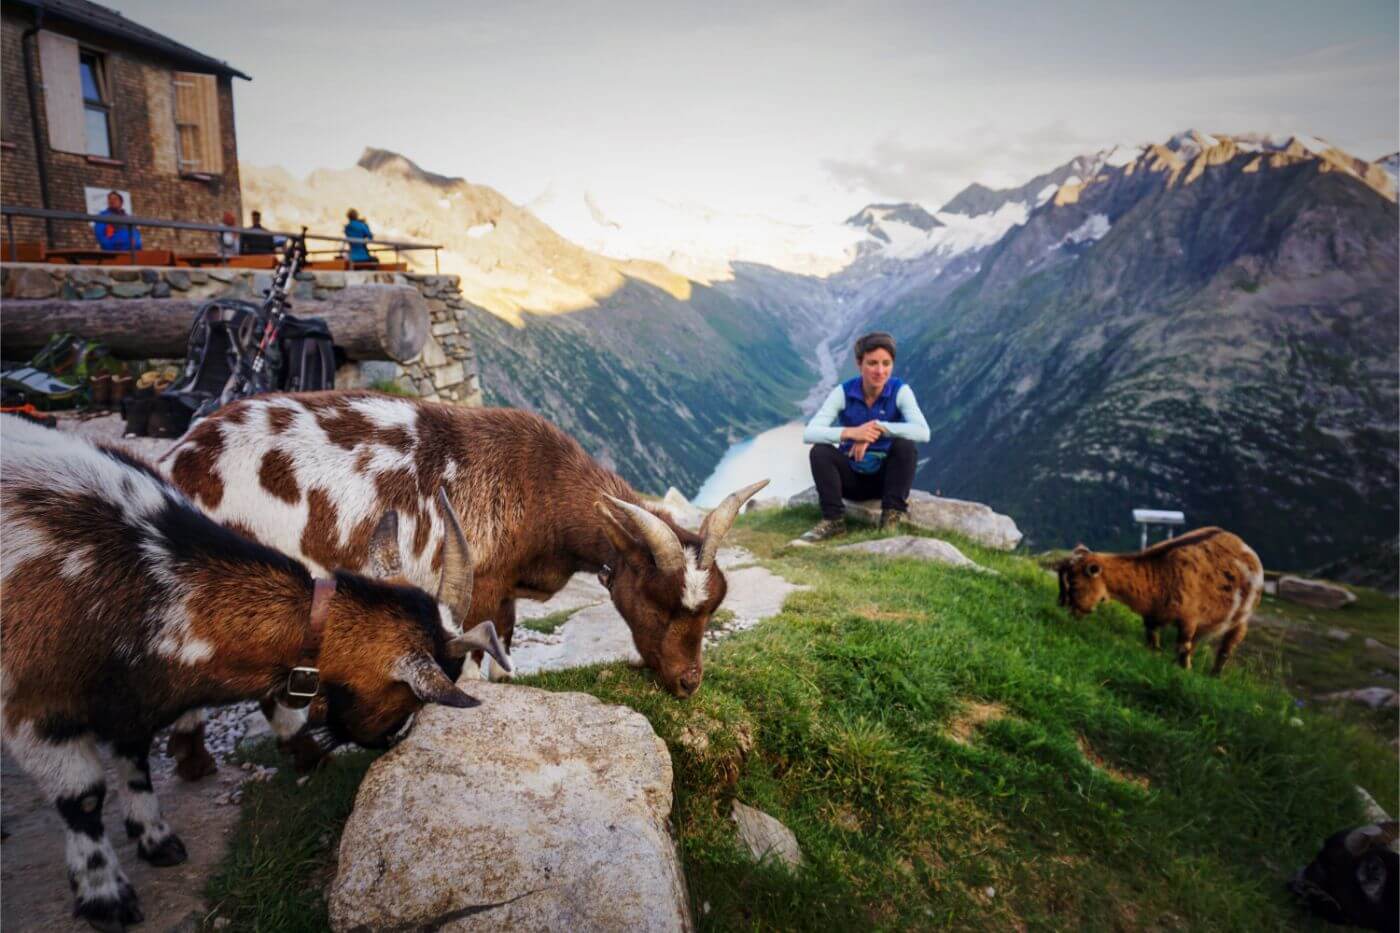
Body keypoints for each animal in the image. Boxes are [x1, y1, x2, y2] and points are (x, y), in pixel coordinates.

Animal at [0, 414, 504, 930]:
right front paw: (106, 897)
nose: (387, 740)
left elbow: (136, 765)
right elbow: (82, 799)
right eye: (411, 696)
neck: (151, 578)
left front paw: (157, 841)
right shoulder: (35, 706)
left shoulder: (134, 697)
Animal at [160, 392, 767, 778]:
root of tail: (177, 461)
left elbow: (506, 646)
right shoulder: (483, 585)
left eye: (712, 607)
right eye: (658, 603)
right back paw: (294, 754)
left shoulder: (506, 590)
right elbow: (482, 656)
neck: (540, 486)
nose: (689, 683)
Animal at [1052, 523, 1265, 669]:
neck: (1161, 574)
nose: (1066, 610)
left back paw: (1215, 674)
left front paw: (1185, 670)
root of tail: (1249, 550)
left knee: (1227, 647)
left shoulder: (1189, 618)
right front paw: (1156, 657)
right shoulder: (1152, 616)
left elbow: (1183, 645)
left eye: (1075, 583)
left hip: (1242, 617)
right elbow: (1153, 638)